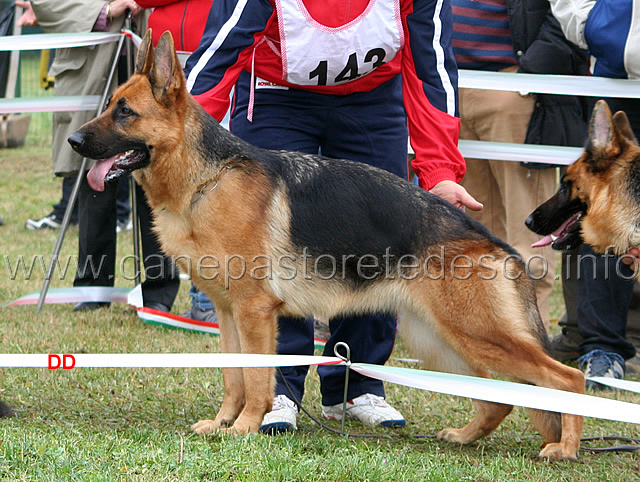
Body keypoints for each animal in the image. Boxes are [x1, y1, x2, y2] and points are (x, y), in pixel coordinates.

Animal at [66, 30, 584, 460]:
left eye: (125, 112)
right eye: (110, 105)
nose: (72, 139)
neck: (206, 180)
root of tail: (495, 244)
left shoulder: (255, 313)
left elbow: (257, 378)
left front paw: (246, 428)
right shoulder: (228, 313)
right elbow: (234, 377)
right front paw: (222, 423)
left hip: (477, 335)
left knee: (566, 378)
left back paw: (566, 448)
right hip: (443, 341)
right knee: (499, 398)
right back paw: (465, 437)